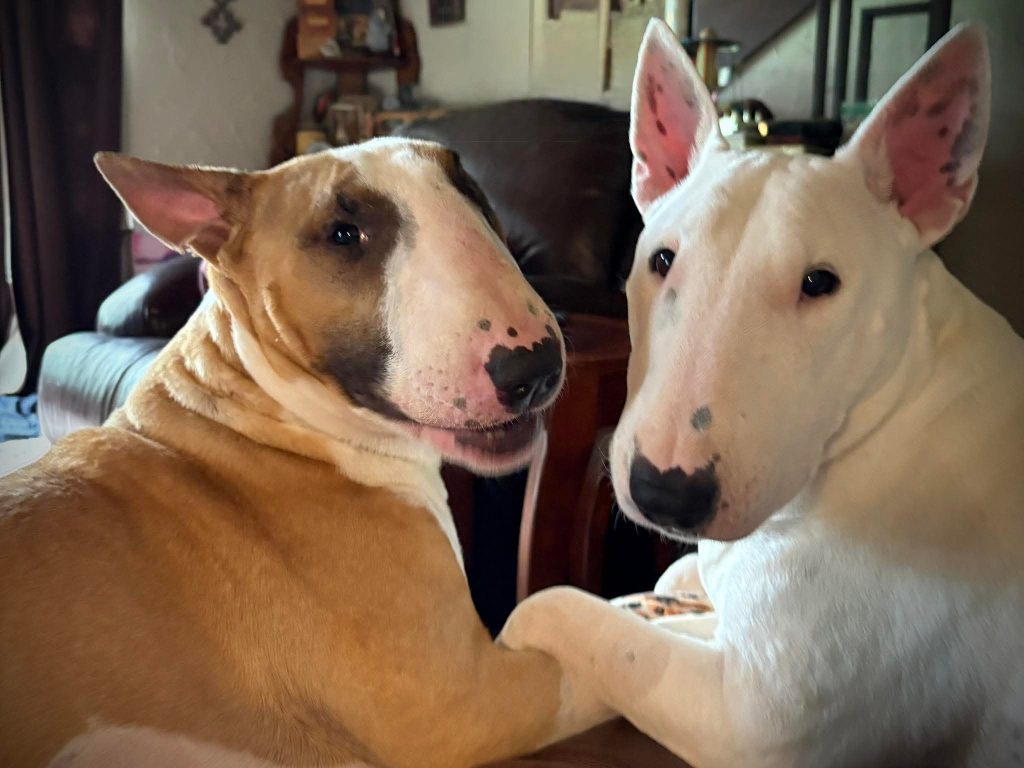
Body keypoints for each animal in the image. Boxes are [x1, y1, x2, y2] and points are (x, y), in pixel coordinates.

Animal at [0, 140, 607, 767]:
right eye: (343, 234)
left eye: (473, 194)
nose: (537, 370)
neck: (271, 418)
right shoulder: (460, 704)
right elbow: (581, 627)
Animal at [500, 20, 1024, 768]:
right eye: (661, 259)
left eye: (820, 282)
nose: (665, 493)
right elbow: (677, 575)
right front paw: (672, 599)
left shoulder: (753, 719)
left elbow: (556, 606)